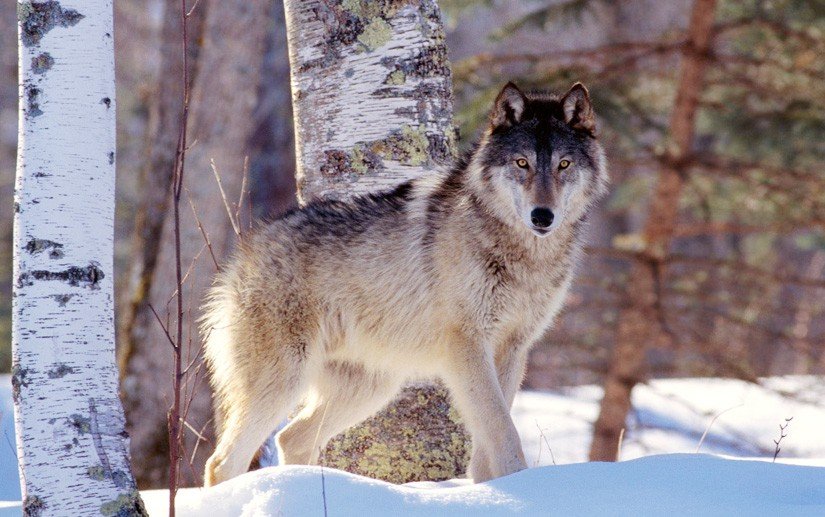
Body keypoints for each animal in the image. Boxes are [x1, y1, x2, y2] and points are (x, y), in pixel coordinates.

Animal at [203, 80, 608, 484]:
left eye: (563, 165)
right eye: (522, 163)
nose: (542, 216)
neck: (523, 256)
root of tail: (244, 250)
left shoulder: (512, 349)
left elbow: (489, 439)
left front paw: (491, 488)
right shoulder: (467, 346)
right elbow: (503, 430)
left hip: (371, 389)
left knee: (291, 438)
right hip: (284, 382)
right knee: (222, 462)